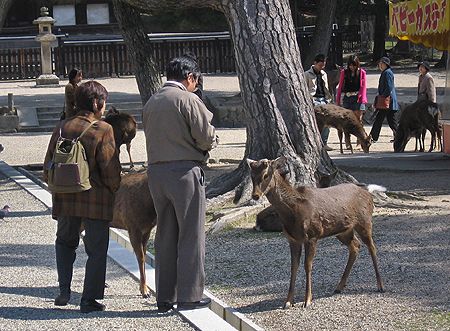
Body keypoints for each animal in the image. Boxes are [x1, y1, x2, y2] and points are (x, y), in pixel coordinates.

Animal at [246, 158, 384, 308]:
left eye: (266, 175)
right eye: (252, 176)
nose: (255, 195)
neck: (293, 211)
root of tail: (368, 192)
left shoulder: (312, 235)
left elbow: (308, 265)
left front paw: (307, 300)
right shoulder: (292, 239)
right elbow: (293, 267)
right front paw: (288, 301)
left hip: (365, 221)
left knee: (372, 247)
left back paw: (380, 286)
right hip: (342, 231)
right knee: (355, 246)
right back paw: (339, 287)